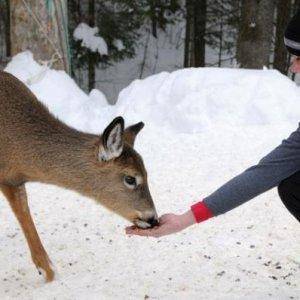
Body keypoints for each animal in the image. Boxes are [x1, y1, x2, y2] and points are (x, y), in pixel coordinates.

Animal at [0, 70, 159, 282]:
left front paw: (48, 272)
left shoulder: (13, 179)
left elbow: (24, 211)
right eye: (130, 179)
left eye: (148, 174)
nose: (153, 219)